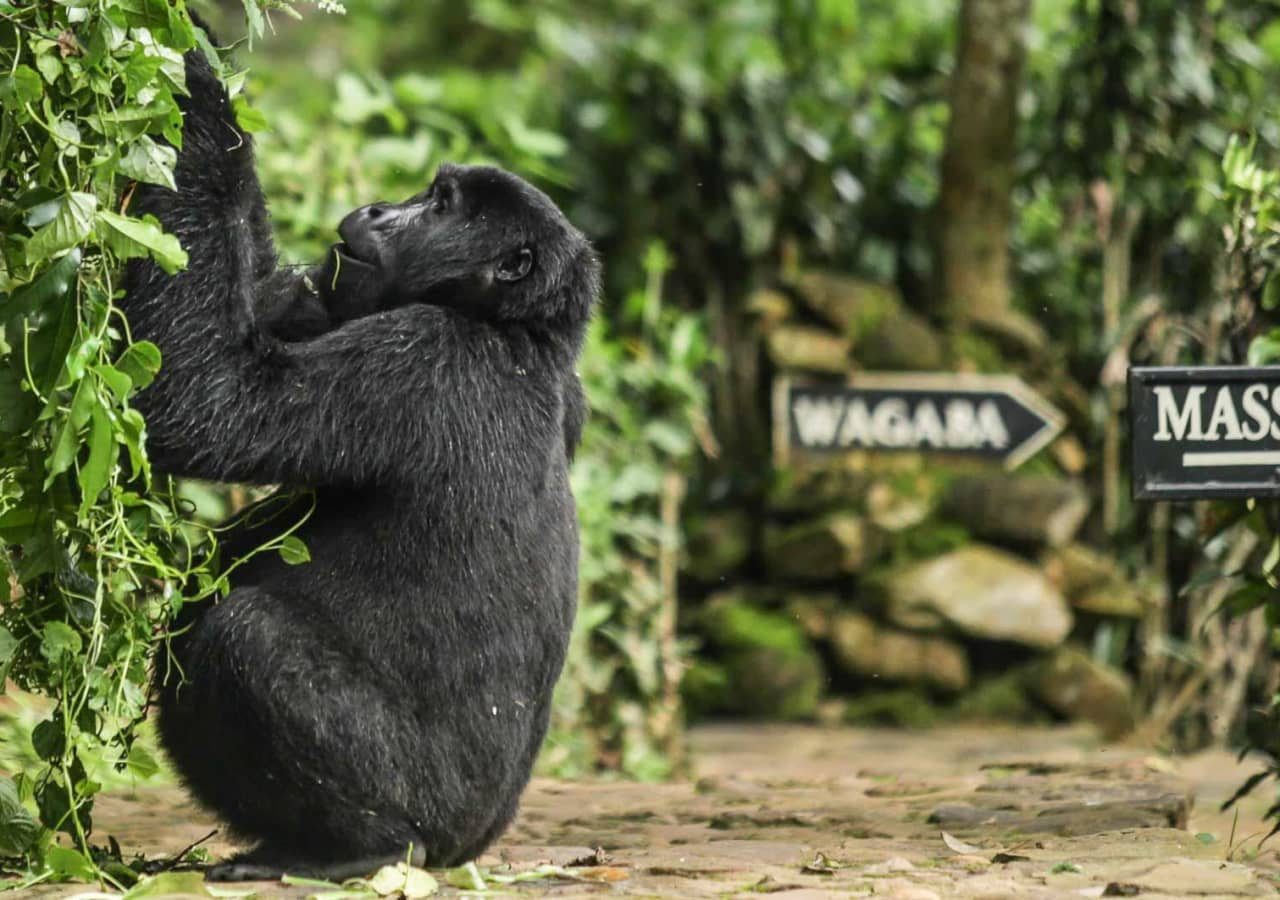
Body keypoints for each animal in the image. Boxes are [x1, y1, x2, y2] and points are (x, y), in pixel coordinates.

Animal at [120, 42, 599, 880]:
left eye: (439, 204)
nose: (378, 210)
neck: (518, 326)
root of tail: (473, 843)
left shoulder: (418, 359)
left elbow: (208, 400)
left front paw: (196, 85)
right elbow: (265, 296)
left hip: (427, 808)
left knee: (249, 639)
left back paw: (356, 848)